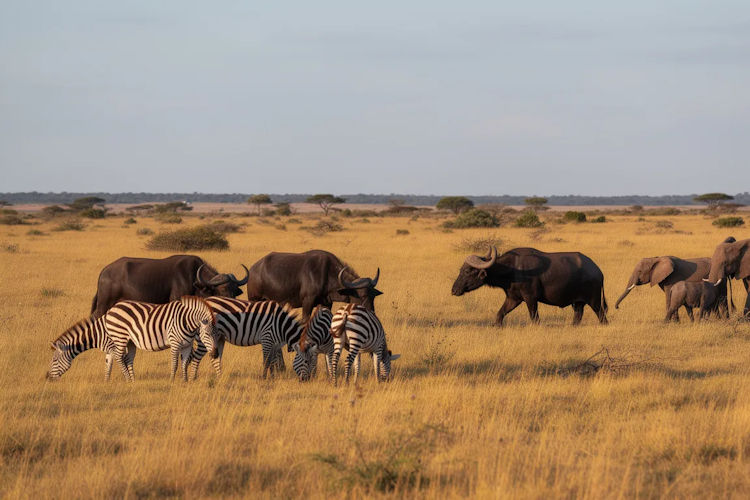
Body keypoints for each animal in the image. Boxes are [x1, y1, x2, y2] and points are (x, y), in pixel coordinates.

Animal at [190, 298, 330, 381]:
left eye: (313, 362)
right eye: (306, 362)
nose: (307, 380)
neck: (281, 325)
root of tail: (205, 300)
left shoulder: (275, 344)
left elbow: (272, 362)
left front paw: (272, 378)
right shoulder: (266, 338)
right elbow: (266, 361)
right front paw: (263, 378)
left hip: (219, 337)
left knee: (216, 358)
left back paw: (220, 378)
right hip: (206, 337)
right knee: (196, 357)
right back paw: (193, 378)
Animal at [246, 249, 382, 319]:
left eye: (373, 296)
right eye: (363, 296)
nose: (372, 314)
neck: (327, 274)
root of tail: (253, 269)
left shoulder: (327, 303)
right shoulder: (307, 302)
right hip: (254, 299)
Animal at [451, 247, 608, 326]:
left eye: (467, 271)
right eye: (460, 269)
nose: (454, 290)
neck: (513, 269)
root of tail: (598, 271)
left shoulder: (530, 298)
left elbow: (535, 319)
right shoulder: (513, 299)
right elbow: (499, 315)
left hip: (594, 301)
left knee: (602, 318)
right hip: (578, 303)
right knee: (577, 317)